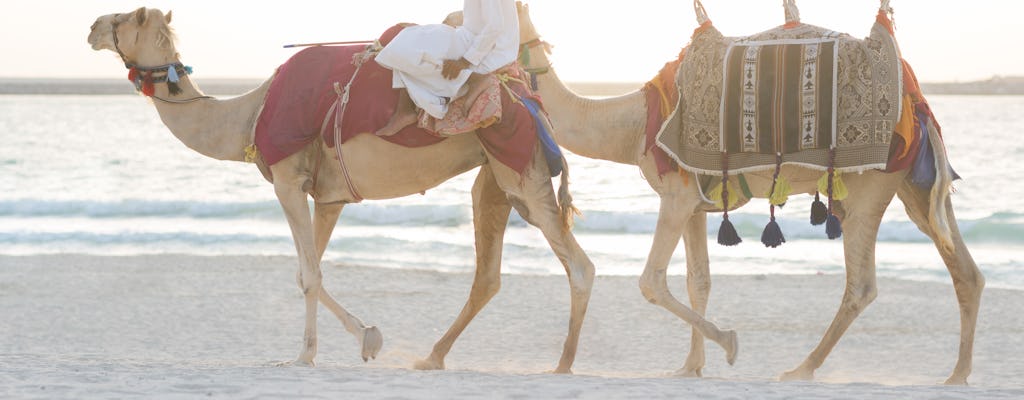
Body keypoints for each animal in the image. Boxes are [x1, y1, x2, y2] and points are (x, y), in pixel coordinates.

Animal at [91, 6, 598, 374]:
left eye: (126, 18)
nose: (93, 26)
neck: (248, 116)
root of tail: (529, 100)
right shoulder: (329, 196)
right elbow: (307, 271)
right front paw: (367, 338)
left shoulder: (288, 179)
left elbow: (310, 275)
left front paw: (306, 356)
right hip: (495, 175)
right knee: (488, 274)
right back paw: (432, 357)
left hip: (521, 168)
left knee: (580, 266)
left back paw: (563, 364)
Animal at [520, 0, 983, 384]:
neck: (633, 125)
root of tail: (917, 102)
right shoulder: (693, 203)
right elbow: (699, 281)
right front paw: (691, 366)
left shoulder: (676, 194)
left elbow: (651, 281)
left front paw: (729, 344)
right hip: (913, 184)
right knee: (964, 269)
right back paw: (957, 375)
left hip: (871, 183)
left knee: (862, 284)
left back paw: (801, 369)